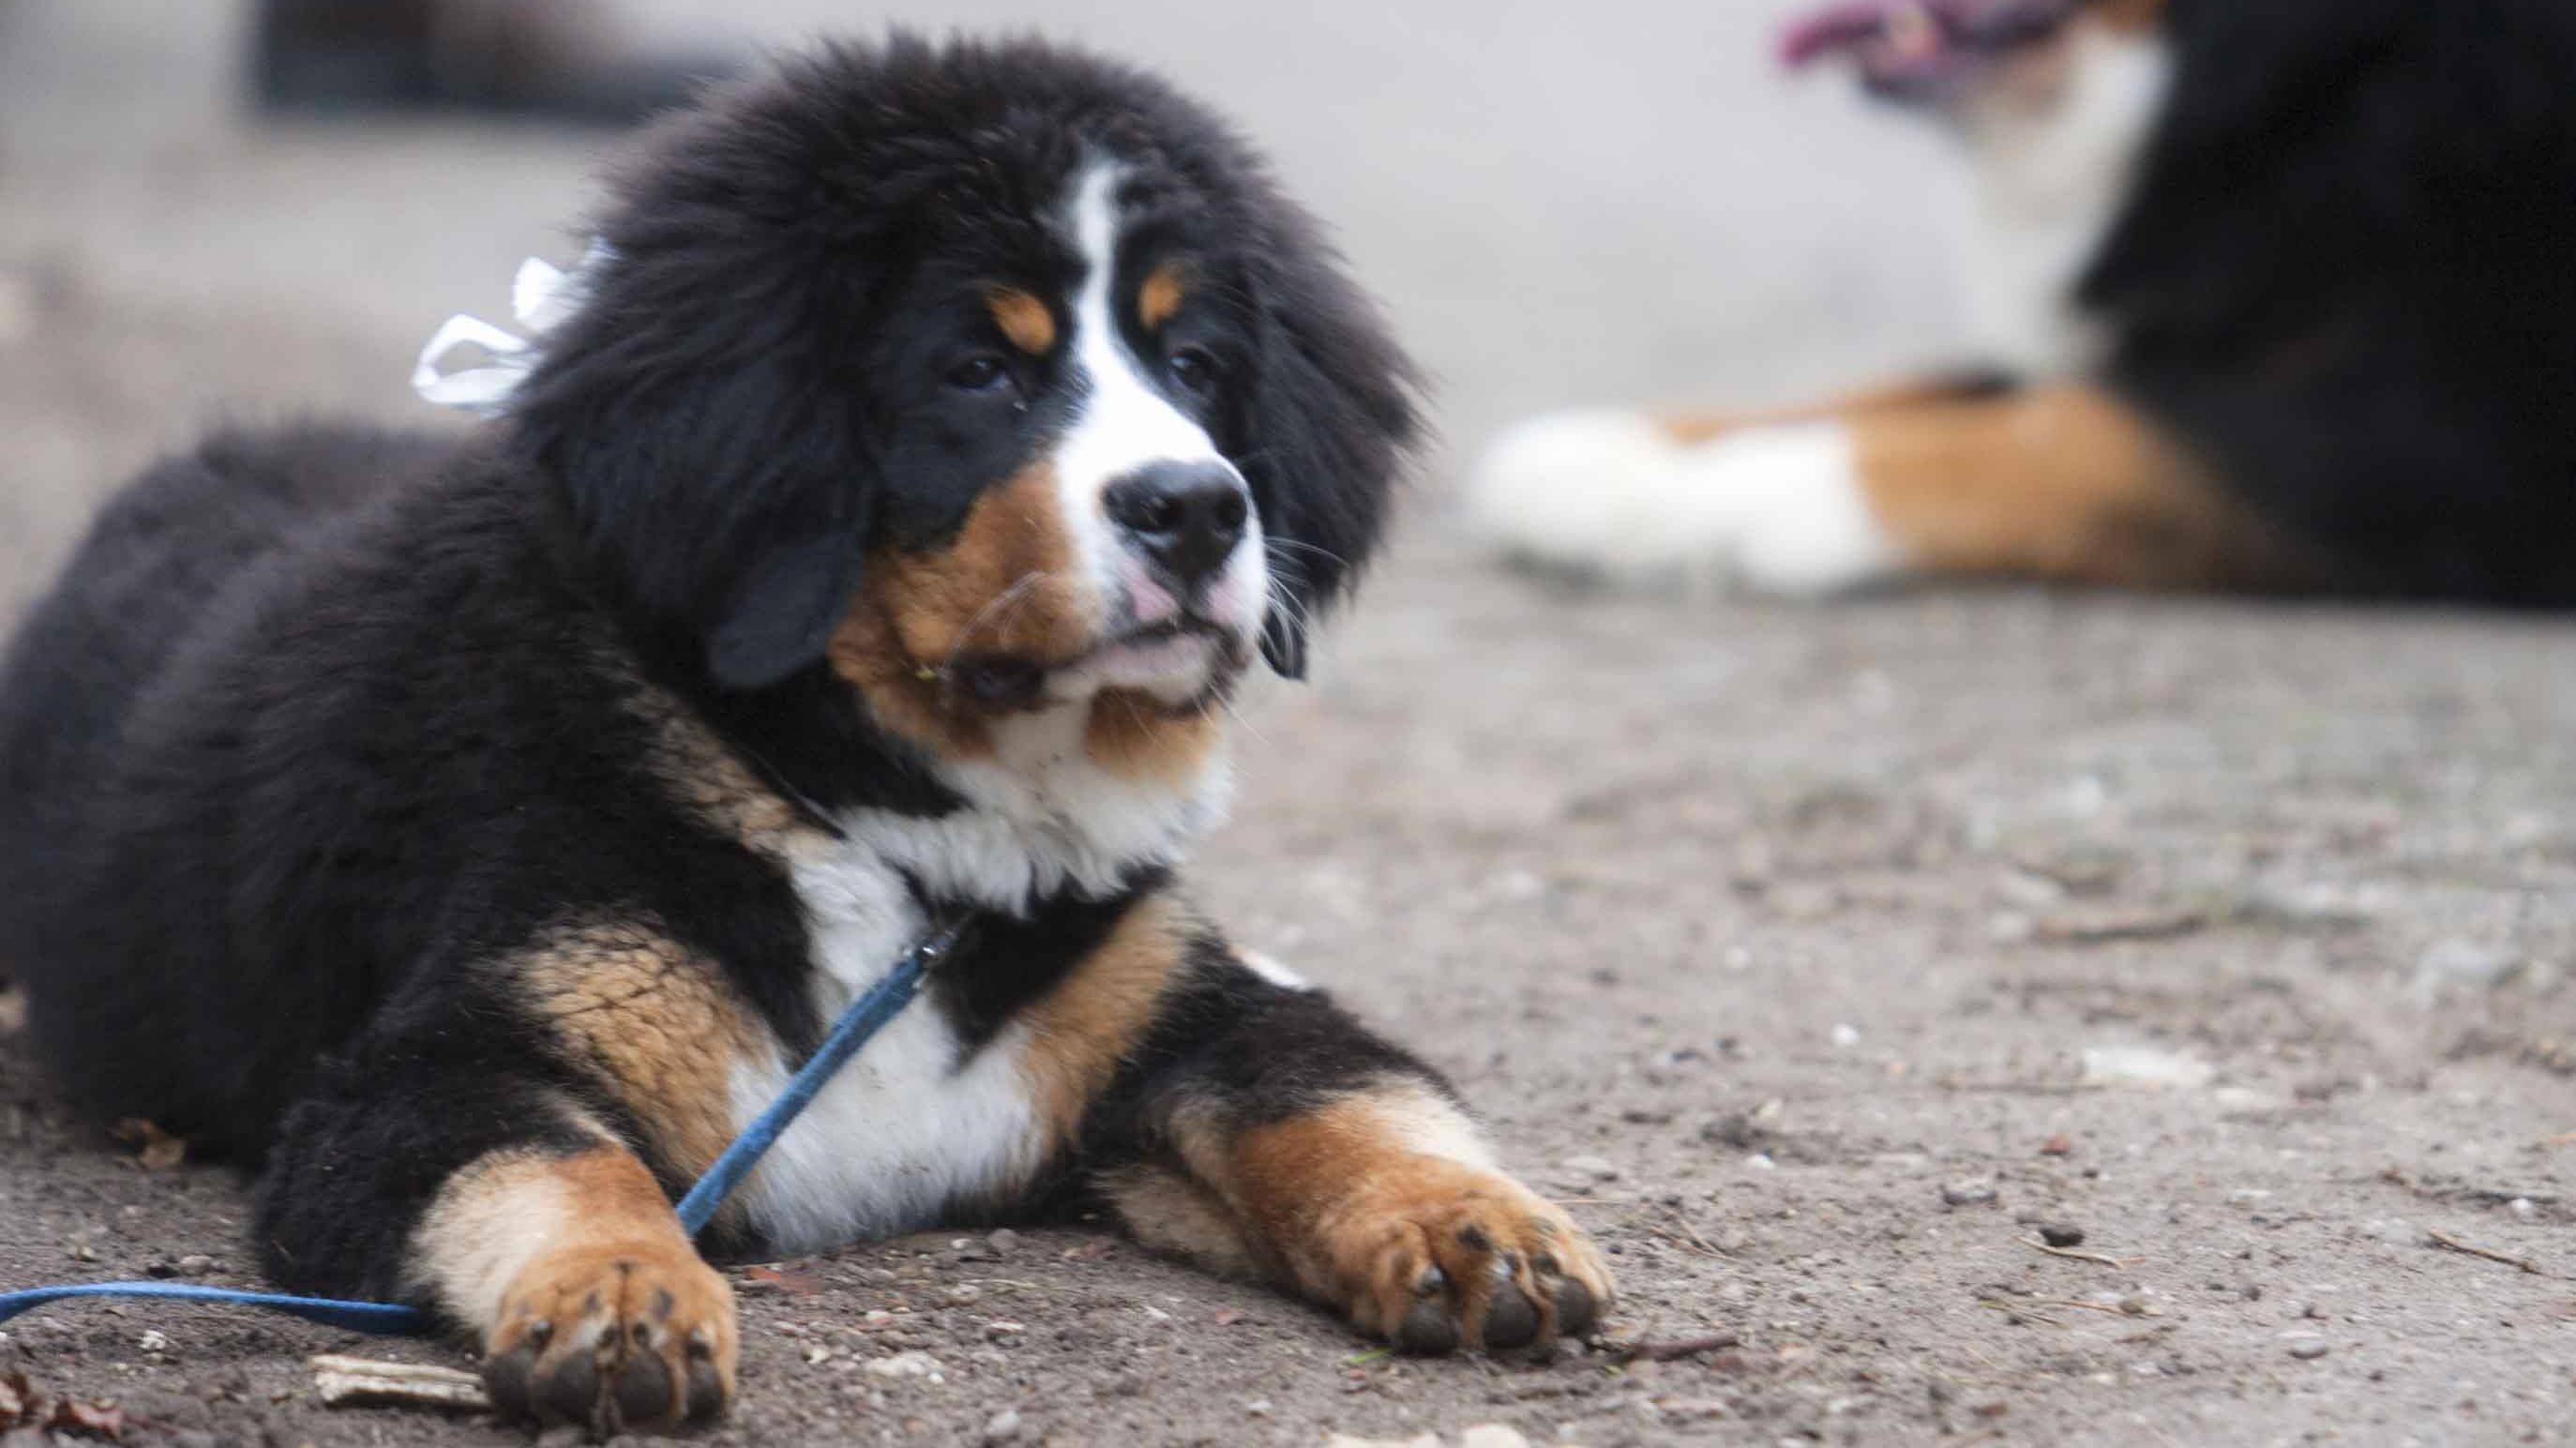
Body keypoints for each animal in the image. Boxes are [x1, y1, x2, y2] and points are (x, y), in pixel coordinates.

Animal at [0, 34, 1607, 1432]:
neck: (888, 833)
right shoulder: (429, 1065)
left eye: (1196, 365)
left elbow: (1336, 1092)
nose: (1197, 508)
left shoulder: (1162, 1012)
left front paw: (1471, 1223)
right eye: (977, 370)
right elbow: (560, 1161)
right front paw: (621, 1296)